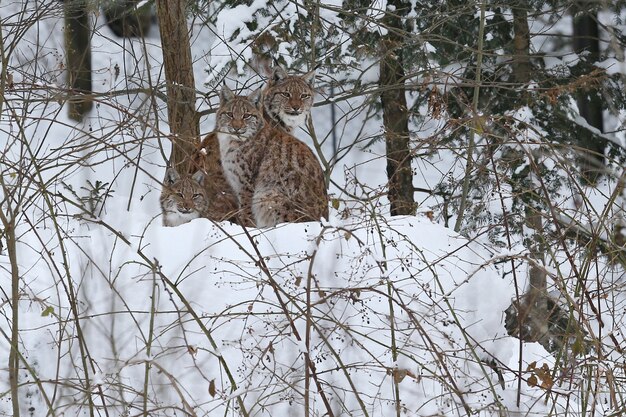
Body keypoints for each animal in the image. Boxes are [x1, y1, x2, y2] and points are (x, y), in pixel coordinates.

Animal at [216, 85, 326, 228]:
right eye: (230, 114)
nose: (236, 128)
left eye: (246, 116)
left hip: (268, 193)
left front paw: (246, 227)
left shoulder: (247, 183)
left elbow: (246, 209)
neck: (231, 140)